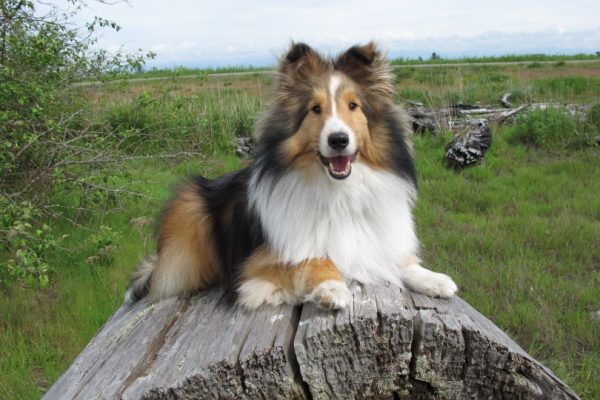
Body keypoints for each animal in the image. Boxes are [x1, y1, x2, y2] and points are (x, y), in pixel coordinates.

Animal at [124, 41, 458, 310]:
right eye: (315, 109)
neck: (339, 191)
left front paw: (433, 279)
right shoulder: (259, 262)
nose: (338, 140)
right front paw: (331, 287)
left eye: (354, 106)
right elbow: (313, 258)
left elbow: (397, 258)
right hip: (190, 209)